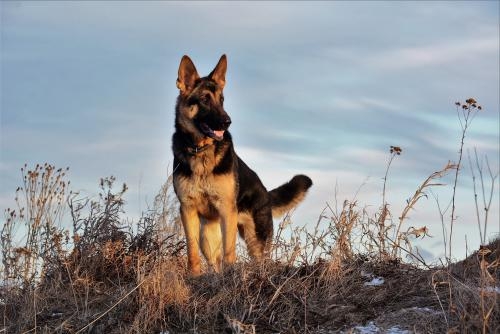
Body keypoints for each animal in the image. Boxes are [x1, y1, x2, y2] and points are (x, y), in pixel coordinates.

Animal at [173, 54, 312, 274]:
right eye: (204, 99)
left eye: (221, 100)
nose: (227, 122)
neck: (200, 150)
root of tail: (266, 193)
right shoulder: (188, 209)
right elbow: (191, 251)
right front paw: (194, 275)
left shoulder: (226, 210)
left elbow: (230, 252)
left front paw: (231, 274)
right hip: (207, 237)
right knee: (214, 260)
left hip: (256, 241)